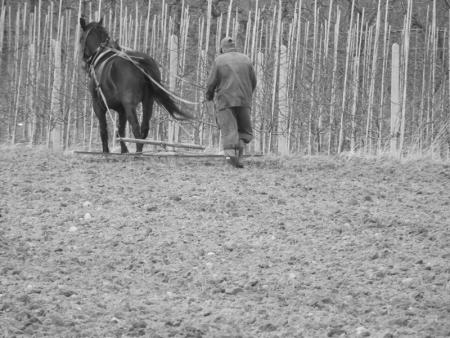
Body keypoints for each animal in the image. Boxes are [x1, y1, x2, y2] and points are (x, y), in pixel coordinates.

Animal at [79, 16, 192, 152]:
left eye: (81, 39)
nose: (84, 61)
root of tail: (138, 62)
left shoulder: (99, 107)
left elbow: (104, 131)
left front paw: (107, 151)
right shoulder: (121, 109)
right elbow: (120, 132)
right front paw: (124, 151)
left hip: (130, 105)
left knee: (136, 131)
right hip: (148, 102)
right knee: (144, 129)